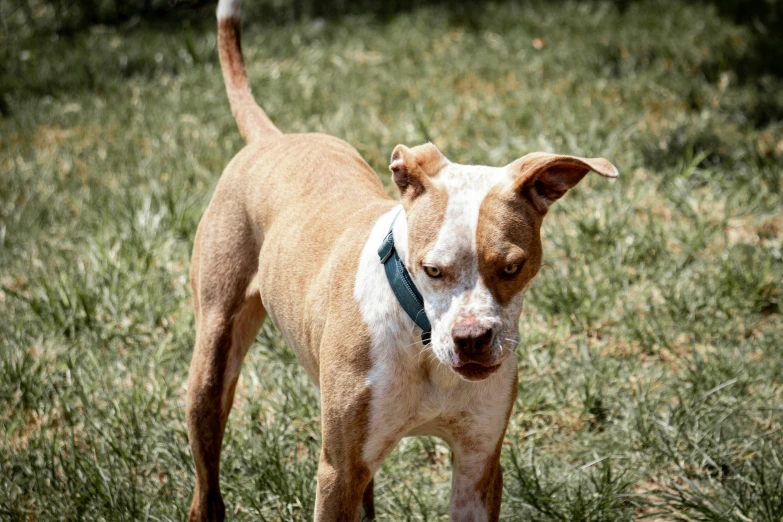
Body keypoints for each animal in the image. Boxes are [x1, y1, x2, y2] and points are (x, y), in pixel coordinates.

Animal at [187, 1, 620, 520]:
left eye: (512, 267)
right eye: (432, 270)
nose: (472, 340)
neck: (422, 339)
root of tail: (271, 139)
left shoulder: (478, 463)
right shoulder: (338, 470)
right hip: (214, 360)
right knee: (206, 471)